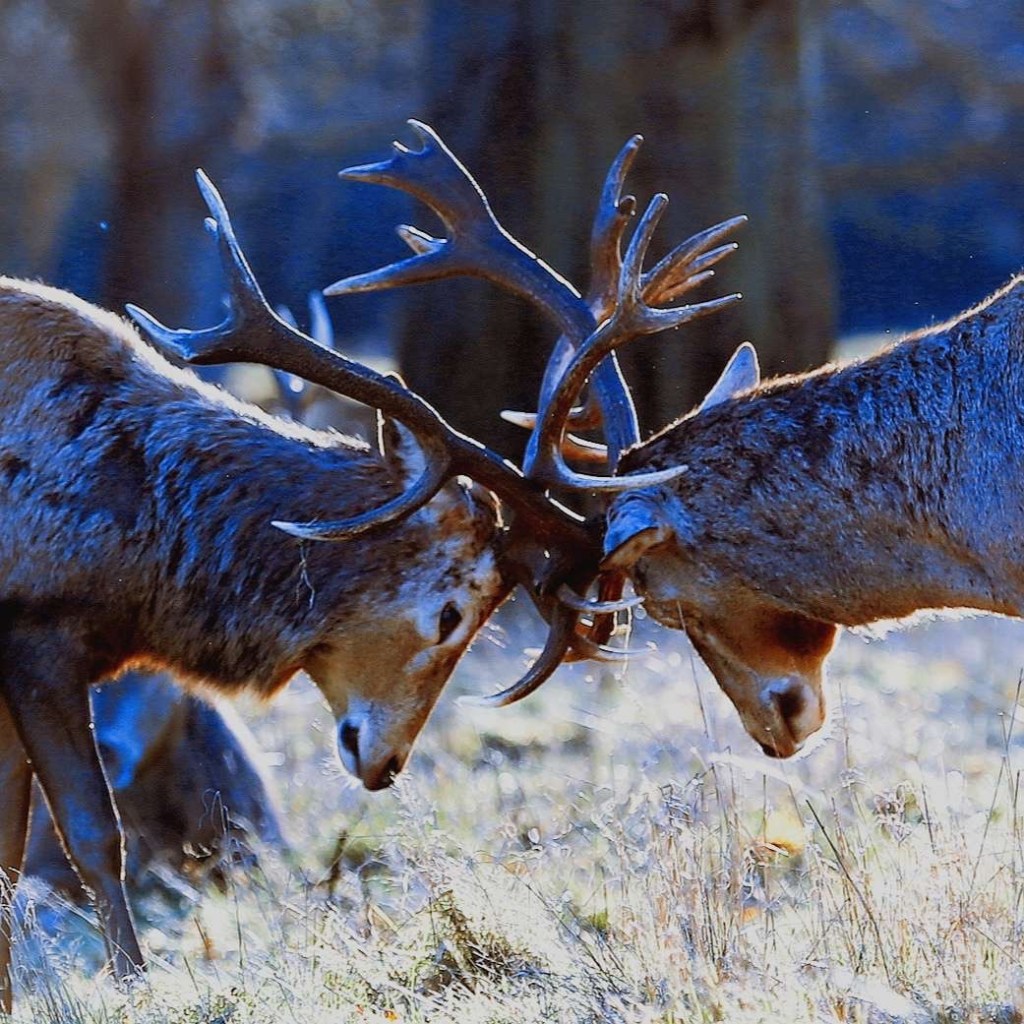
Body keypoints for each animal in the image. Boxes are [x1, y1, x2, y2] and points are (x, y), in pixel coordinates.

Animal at [0, 123, 739, 1008]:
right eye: (452, 611)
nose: (382, 763)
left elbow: (9, 848)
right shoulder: (37, 628)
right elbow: (89, 834)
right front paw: (134, 986)